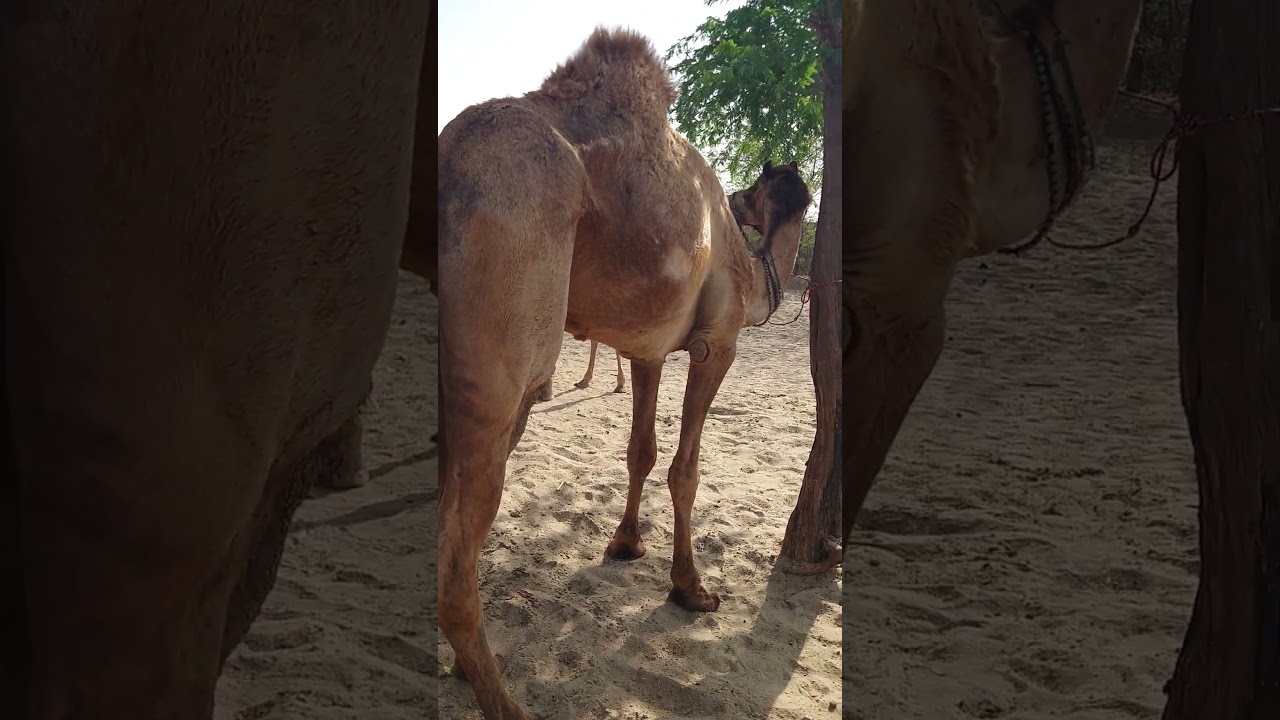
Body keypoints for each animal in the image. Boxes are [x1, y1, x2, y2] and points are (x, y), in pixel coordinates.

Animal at [436, 28, 811, 719]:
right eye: (753, 192)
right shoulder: (718, 342)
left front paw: (625, 544)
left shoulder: (648, 350)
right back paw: (501, 697)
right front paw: (692, 589)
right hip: (503, 362)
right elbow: (685, 469)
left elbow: (640, 449)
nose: (741, 198)